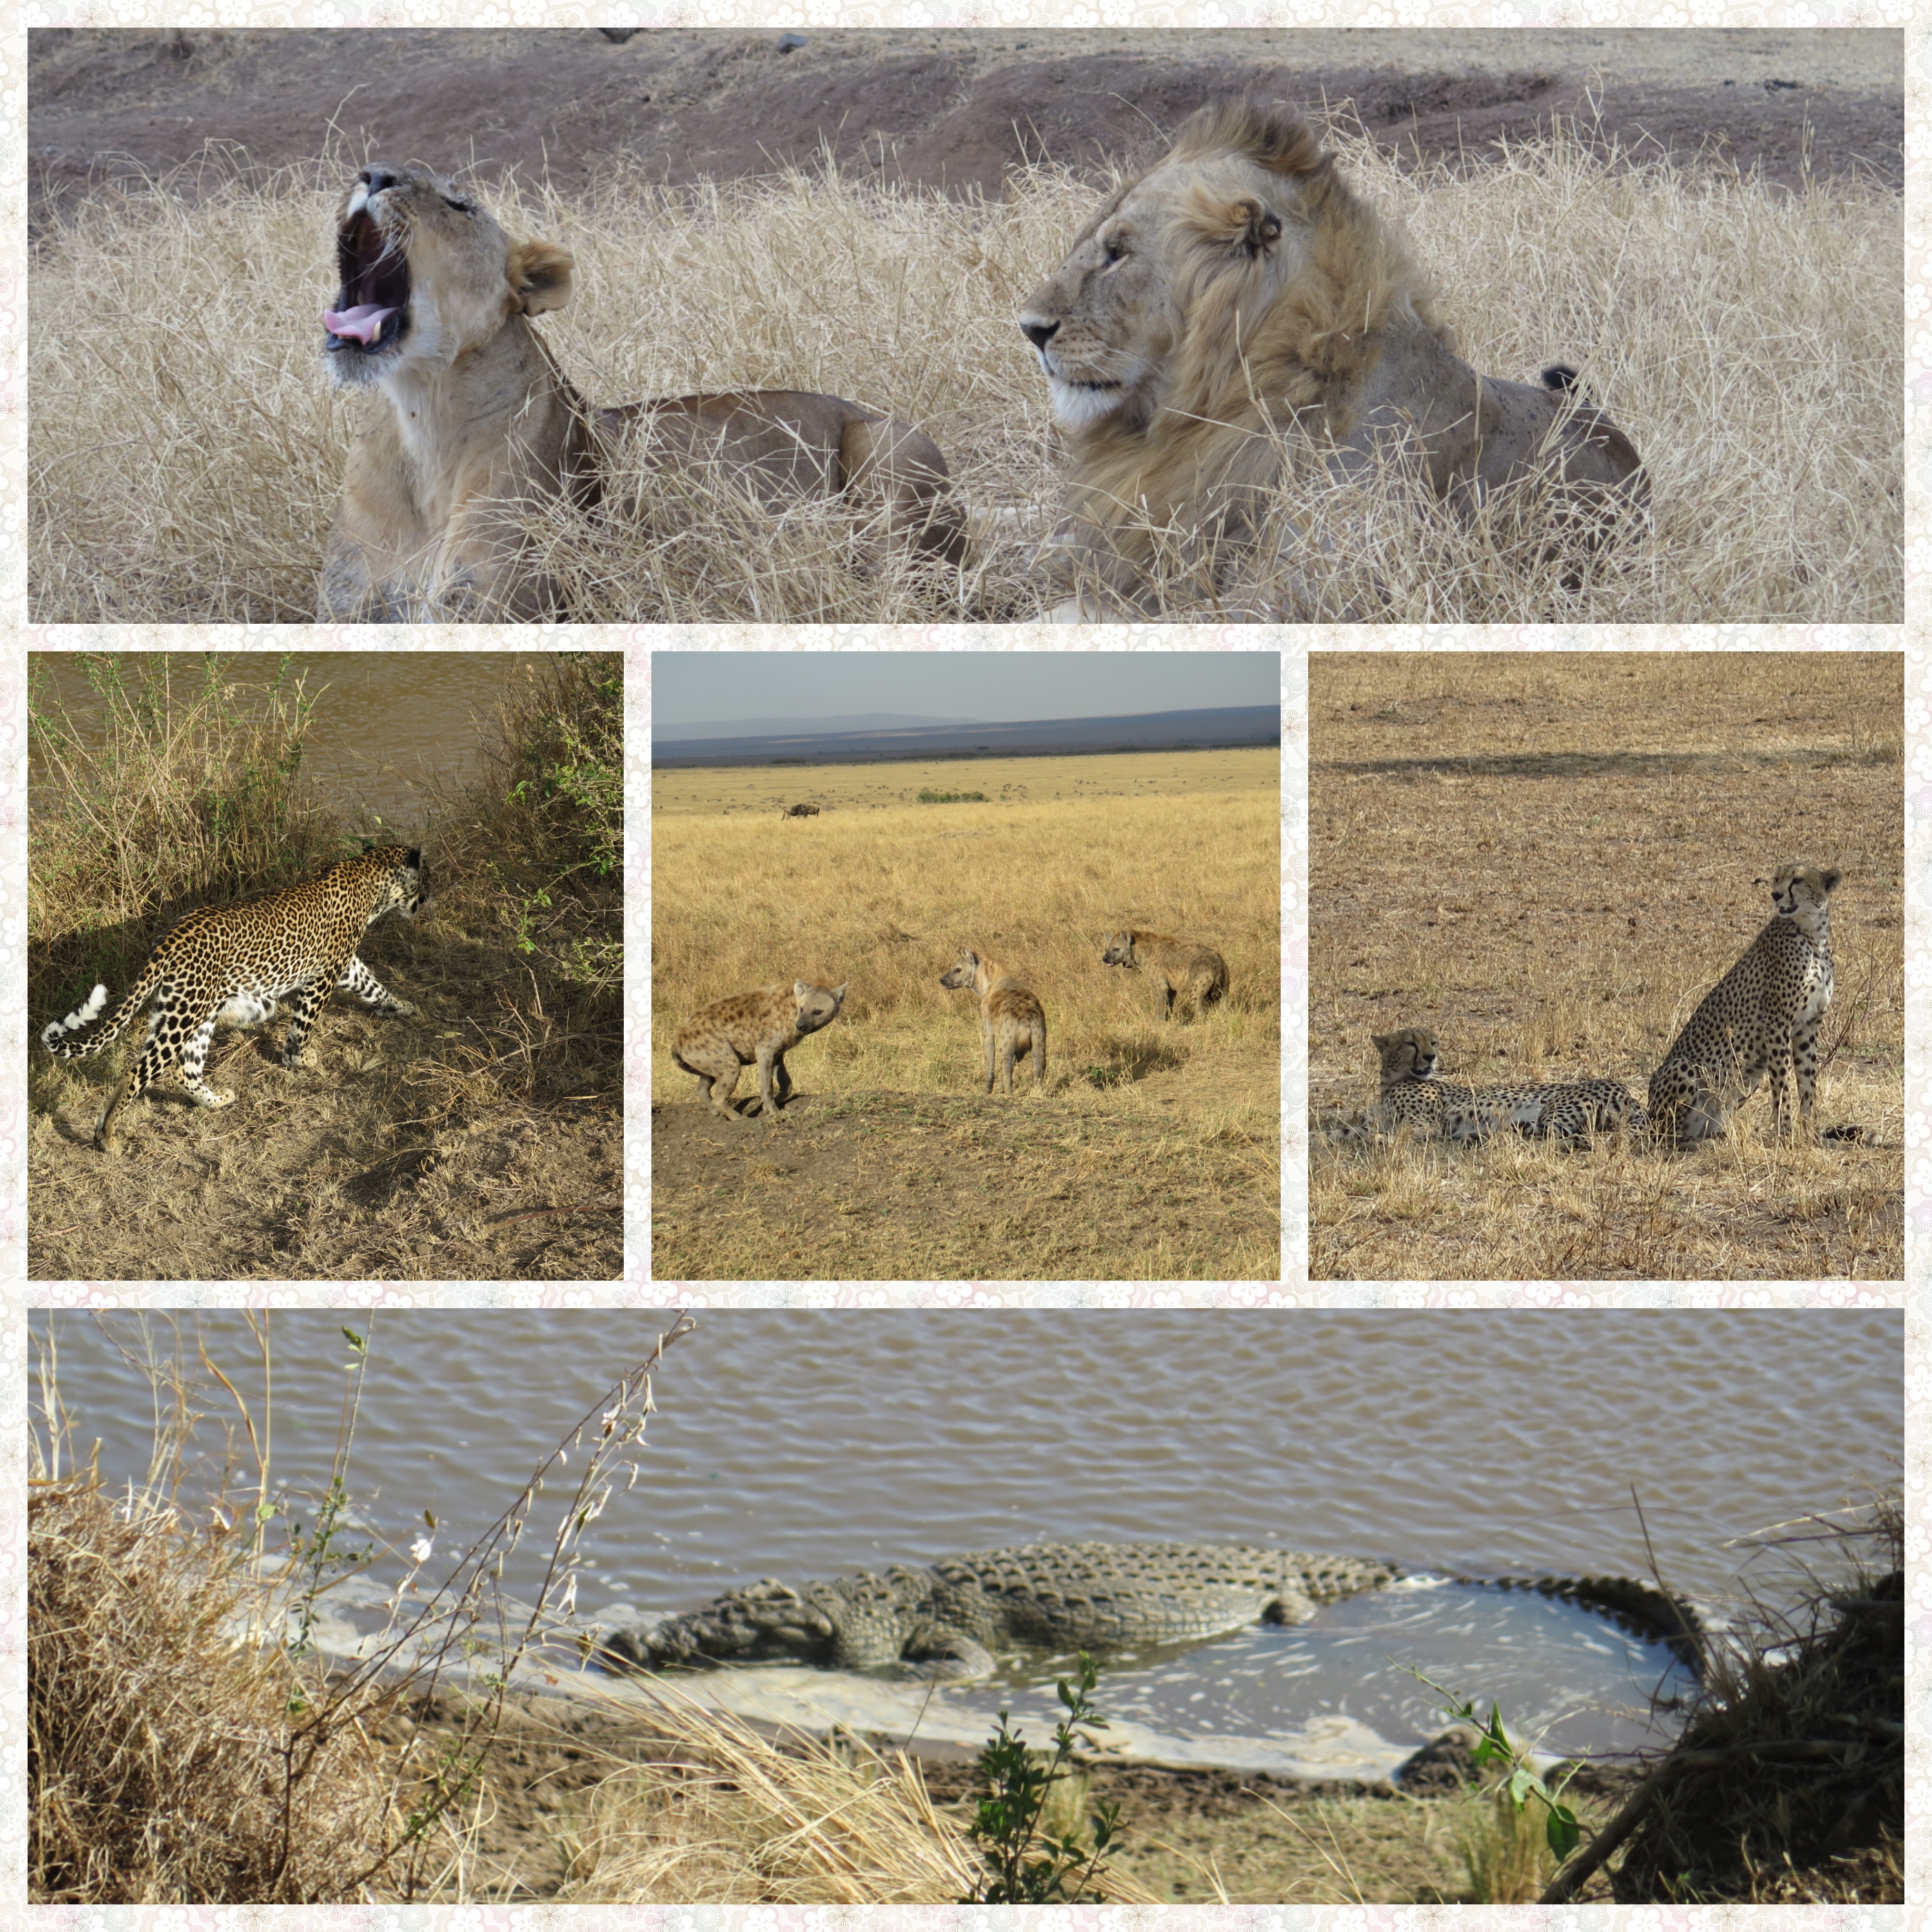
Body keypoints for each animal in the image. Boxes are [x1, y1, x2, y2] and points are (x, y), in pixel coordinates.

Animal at [318, 165, 966, 621]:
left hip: (890, 451)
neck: (422, 416)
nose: (373, 173)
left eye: (459, 204)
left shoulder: (494, 599)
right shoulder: (351, 605)